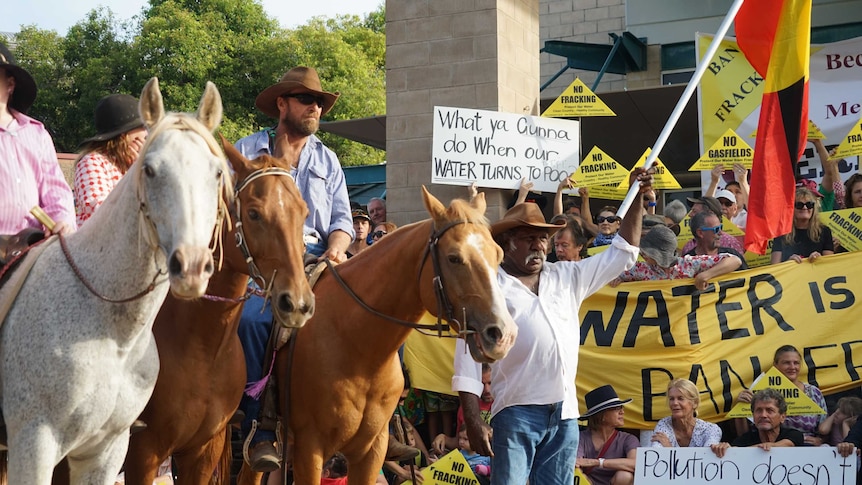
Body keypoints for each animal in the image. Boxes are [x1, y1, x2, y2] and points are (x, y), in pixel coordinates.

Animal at [0, 77, 233, 482]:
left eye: (216, 172)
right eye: (150, 170)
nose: (190, 267)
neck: (111, 334)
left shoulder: (107, 451)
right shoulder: (34, 444)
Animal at [118, 138, 314, 482]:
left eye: (303, 212)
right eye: (254, 213)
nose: (297, 303)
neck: (200, 350)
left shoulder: (203, 451)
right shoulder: (142, 453)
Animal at [240, 188, 516, 484]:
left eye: (498, 254)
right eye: (454, 257)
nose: (503, 334)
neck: (356, 347)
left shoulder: (372, 449)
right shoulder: (309, 449)